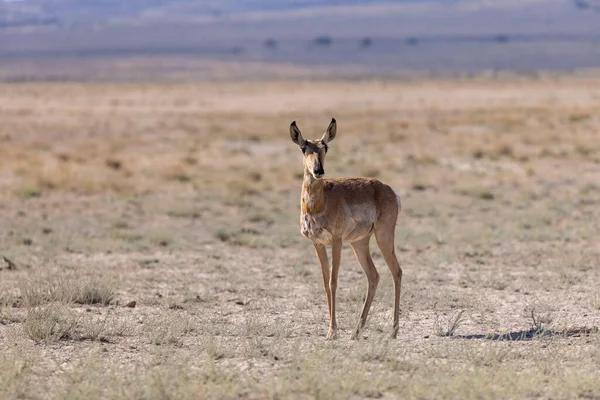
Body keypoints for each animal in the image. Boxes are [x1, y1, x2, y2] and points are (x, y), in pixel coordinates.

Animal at [290, 117, 404, 340]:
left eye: (325, 146)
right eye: (303, 147)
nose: (318, 171)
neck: (320, 203)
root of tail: (388, 190)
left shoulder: (336, 242)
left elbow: (334, 282)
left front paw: (332, 332)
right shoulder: (318, 244)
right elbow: (325, 283)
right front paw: (331, 331)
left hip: (383, 238)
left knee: (396, 272)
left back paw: (394, 331)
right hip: (359, 243)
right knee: (373, 276)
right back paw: (356, 331)